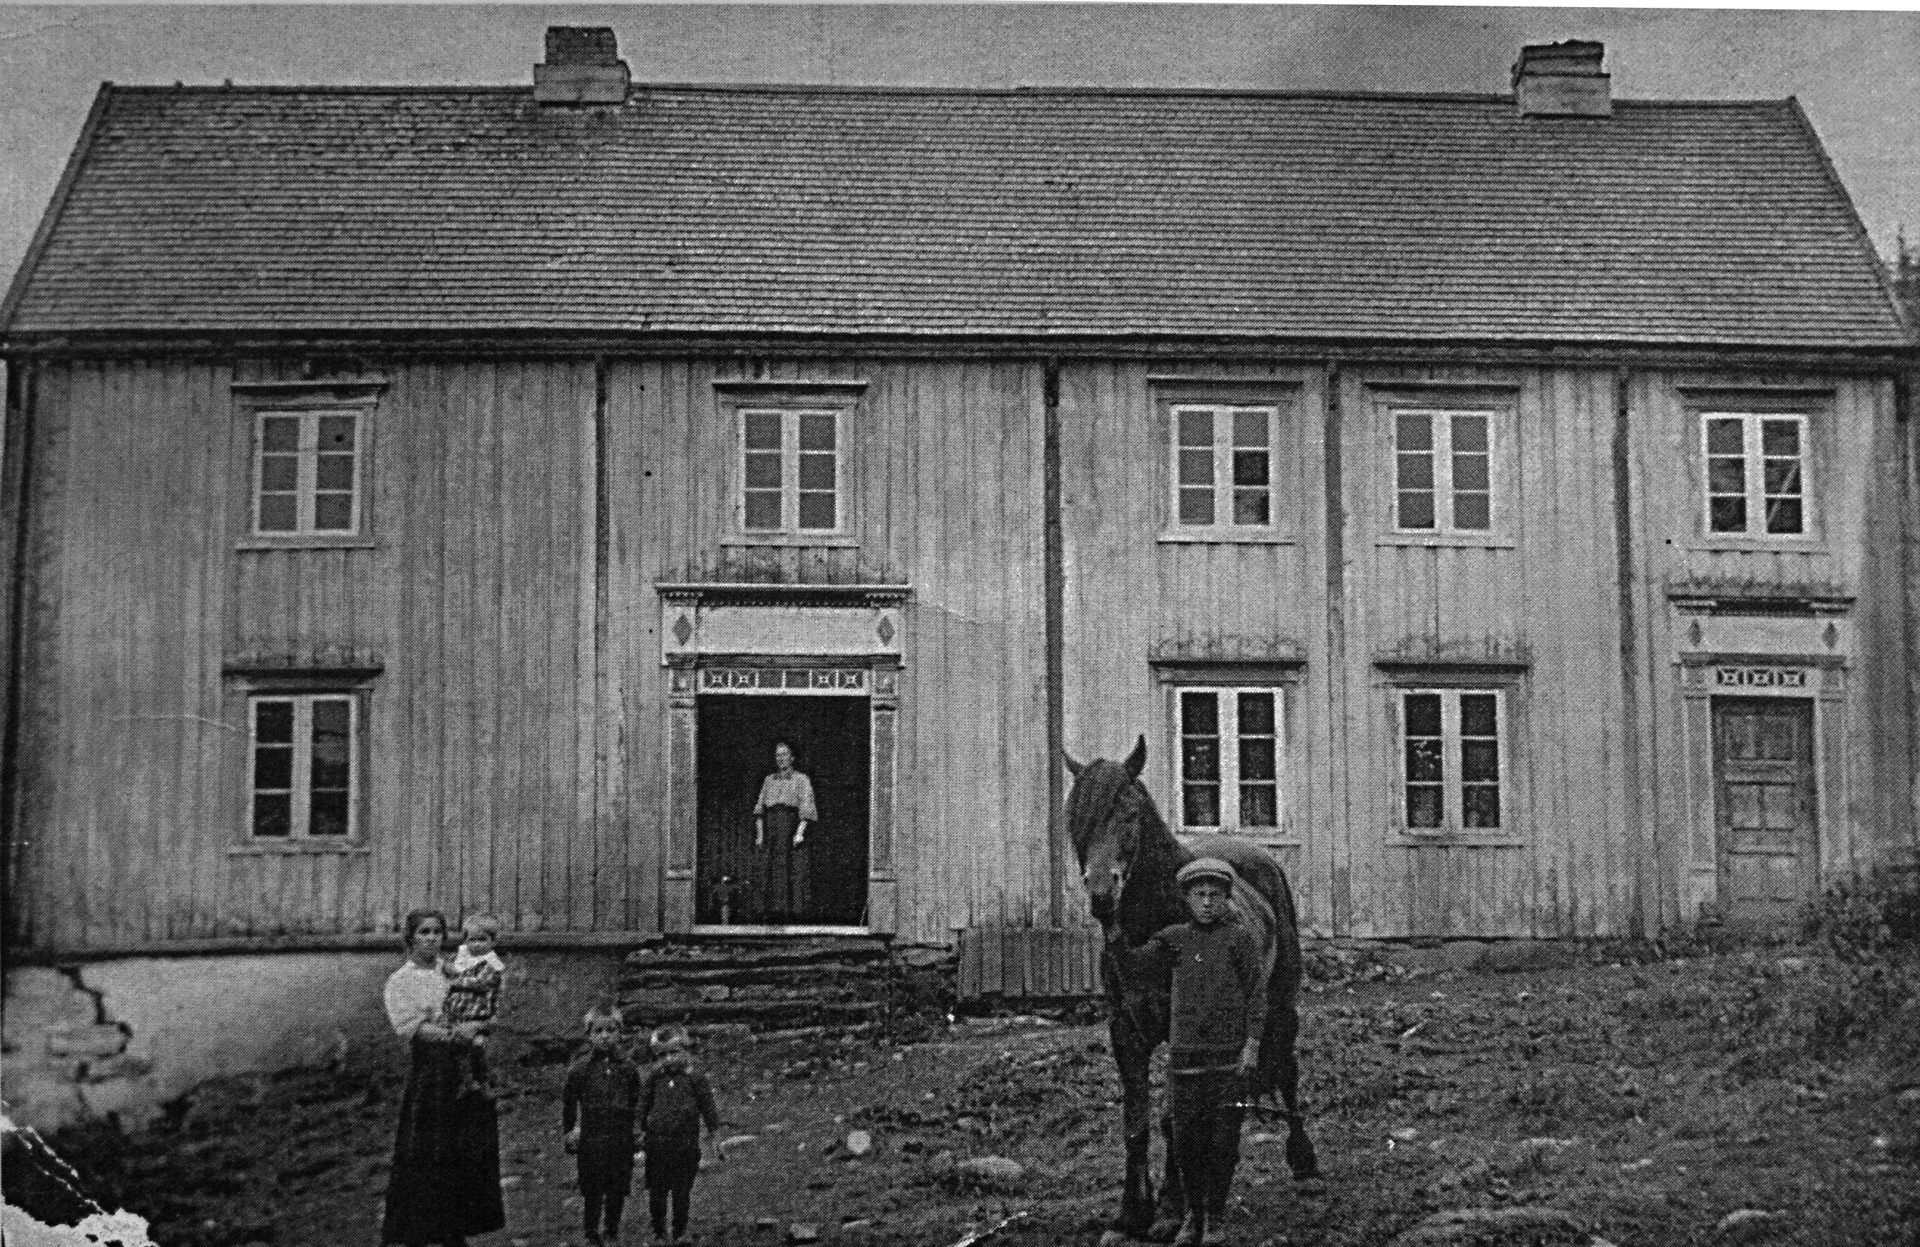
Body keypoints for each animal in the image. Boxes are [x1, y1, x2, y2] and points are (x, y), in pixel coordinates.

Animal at [1066, 736, 1318, 1243]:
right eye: (1076, 817)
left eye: (1130, 813)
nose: (1102, 893)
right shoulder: (1126, 1034)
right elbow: (1137, 1123)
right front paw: (1130, 1214)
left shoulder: (1179, 1034)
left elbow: (1169, 1119)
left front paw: (1168, 1211)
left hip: (1280, 1005)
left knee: (1286, 1069)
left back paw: (1303, 1160)